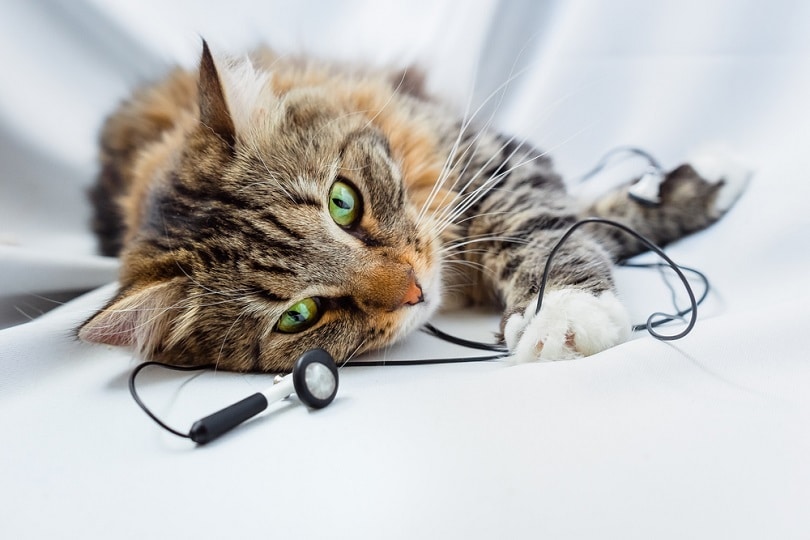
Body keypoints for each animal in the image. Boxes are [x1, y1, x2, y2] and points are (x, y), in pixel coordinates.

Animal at [76, 41, 744, 372]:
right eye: (300, 315)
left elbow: (554, 227)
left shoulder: (491, 165)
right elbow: (590, 224)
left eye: (343, 202)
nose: (416, 290)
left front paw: (563, 313)